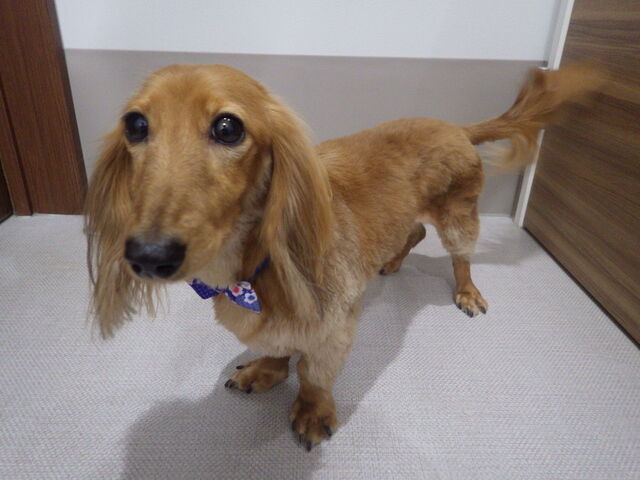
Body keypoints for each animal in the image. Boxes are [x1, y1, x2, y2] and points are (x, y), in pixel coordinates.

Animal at [85, 63, 602, 450]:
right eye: (135, 124)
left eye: (228, 127)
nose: (149, 254)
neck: (253, 268)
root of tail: (456, 127)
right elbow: (278, 349)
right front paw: (265, 371)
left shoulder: (335, 328)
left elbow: (314, 374)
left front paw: (313, 412)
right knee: (413, 230)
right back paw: (391, 262)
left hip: (459, 217)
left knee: (461, 258)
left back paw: (468, 292)